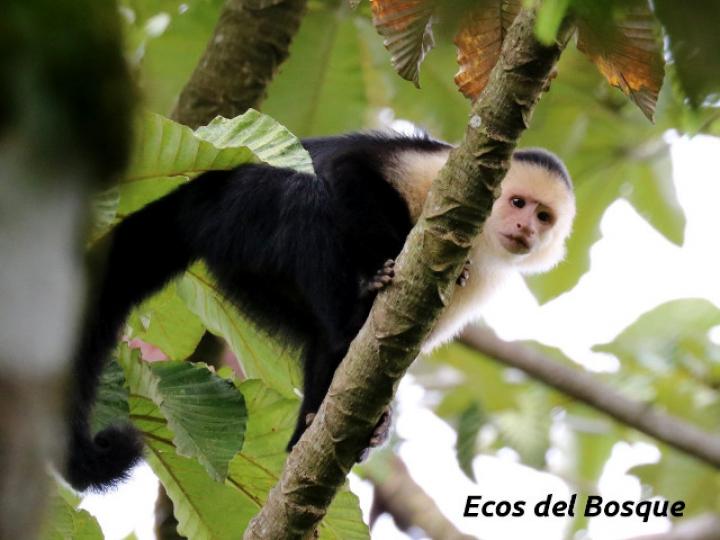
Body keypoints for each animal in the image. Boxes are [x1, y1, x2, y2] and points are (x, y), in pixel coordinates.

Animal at [65, 131, 575, 491]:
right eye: (517, 202)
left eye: (543, 216)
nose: (525, 229)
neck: (482, 237)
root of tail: (200, 192)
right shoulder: (450, 180)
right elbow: (352, 168)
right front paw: (389, 252)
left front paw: (370, 420)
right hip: (243, 209)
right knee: (308, 197)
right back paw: (357, 305)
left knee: (324, 338)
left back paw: (310, 427)